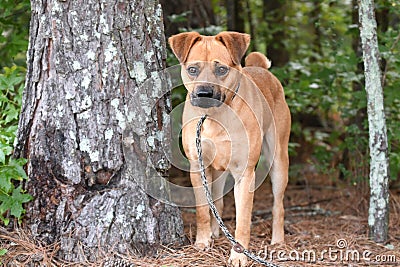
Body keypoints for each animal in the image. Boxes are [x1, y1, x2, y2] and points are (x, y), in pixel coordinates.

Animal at [169, 32, 290, 266]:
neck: (215, 117)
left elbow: (243, 219)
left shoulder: (245, 173)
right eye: (192, 69)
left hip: (279, 159)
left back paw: (278, 240)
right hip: (217, 173)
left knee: (278, 205)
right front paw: (202, 242)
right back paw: (216, 233)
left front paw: (239, 256)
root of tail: (261, 69)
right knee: (217, 202)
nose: (204, 93)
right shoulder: (198, 167)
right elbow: (203, 210)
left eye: (222, 70)